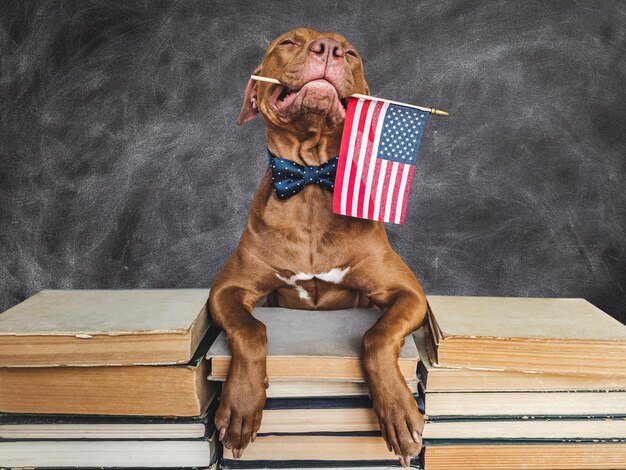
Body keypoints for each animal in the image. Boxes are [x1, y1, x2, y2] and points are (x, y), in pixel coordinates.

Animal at [207, 27, 426, 468]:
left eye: (353, 53)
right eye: (288, 42)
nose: (330, 49)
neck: (309, 181)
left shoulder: (408, 294)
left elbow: (376, 336)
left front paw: (398, 411)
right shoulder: (227, 290)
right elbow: (251, 329)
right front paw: (241, 405)